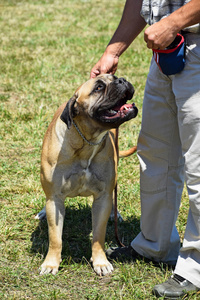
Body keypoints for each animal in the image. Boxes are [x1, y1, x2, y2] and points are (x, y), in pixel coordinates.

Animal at [38, 74, 138, 276]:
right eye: (98, 87)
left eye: (115, 77)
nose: (122, 80)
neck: (86, 142)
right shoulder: (55, 200)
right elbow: (55, 237)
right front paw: (51, 263)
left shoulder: (102, 198)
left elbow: (98, 234)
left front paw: (100, 261)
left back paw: (116, 213)